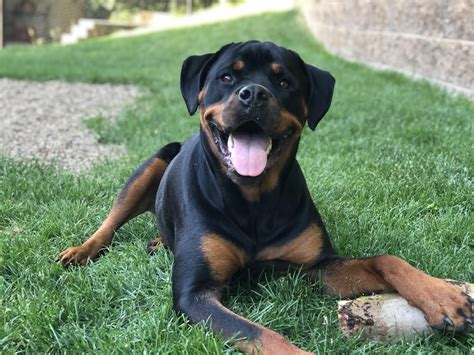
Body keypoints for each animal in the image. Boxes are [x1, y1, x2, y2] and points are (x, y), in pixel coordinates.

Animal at [57, 41, 472, 354]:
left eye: (284, 80)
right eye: (227, 76)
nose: (254, 93)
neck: (252, 200)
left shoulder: (316, 266)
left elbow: (385, 259)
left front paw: (441, 295)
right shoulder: (194, 295)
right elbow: (262, 334)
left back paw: (158, 241)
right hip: (154, 161)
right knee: (111, 220)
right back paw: (80, 251)